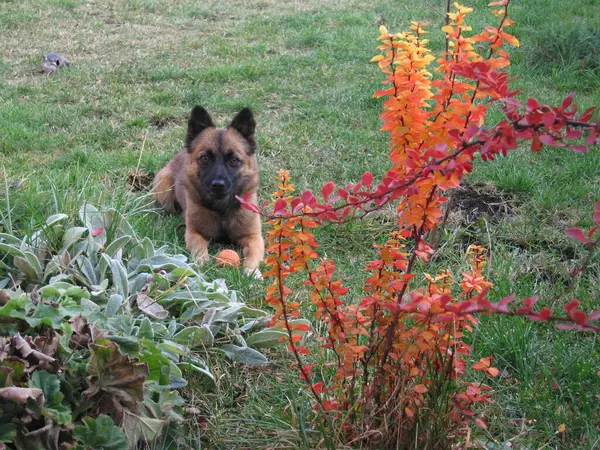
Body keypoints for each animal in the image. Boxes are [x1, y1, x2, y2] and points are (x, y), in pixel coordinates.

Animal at [152, 107, 262, 278]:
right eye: (204, 158)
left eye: (234, 160)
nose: (218, 185)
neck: (221, 211)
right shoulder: (193, 233)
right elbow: (199, 245)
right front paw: (201, 261)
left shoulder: (254, 237)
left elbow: (253, 253)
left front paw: (252, 270)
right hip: (165, 189)